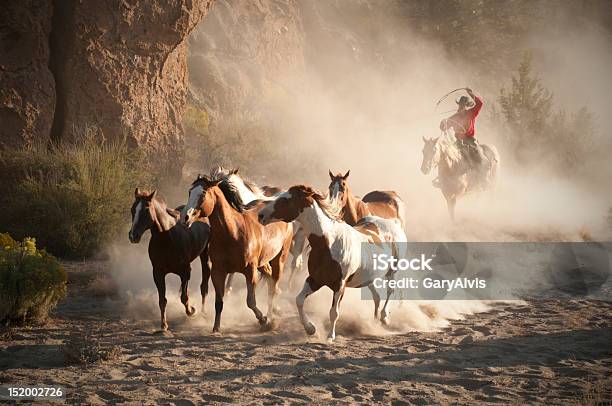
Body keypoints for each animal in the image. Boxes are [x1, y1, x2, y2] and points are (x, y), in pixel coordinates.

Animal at [128, 189, 210, 332]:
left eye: (146, 210)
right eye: (133, 209)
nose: (133, 236)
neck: (167, 237)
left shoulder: (185, 271)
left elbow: (184, 298)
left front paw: (192, 311)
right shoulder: (158, 273)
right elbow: (162, 300)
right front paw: (163, 325)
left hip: (205, 255)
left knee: (204, 285)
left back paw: (203, 313)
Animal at [180, 176, 292, 332]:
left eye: (202, 194)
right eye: (190, 192)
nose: (185, 217)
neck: (233, 232)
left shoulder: (250, 271)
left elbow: (250, 302)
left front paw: (263, 320)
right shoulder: (218, 272)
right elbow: (219, 303)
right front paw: (216, 328)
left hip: (279, 259)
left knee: (273, 286)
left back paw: (270, 318)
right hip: (263, 263)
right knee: (270, 280)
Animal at [256, 186, 406, 340]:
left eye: (285, 200)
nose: (260, 215)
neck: (328, 243)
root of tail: (393, 223)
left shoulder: (340, 285)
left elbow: (334, 312)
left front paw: (330, 337)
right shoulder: (315, 280)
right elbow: (299, 300)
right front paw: (310, 328)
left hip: (392, 271)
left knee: (390, 291)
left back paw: (384, 317)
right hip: (368, 277)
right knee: (377, 296)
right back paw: (375, 321)